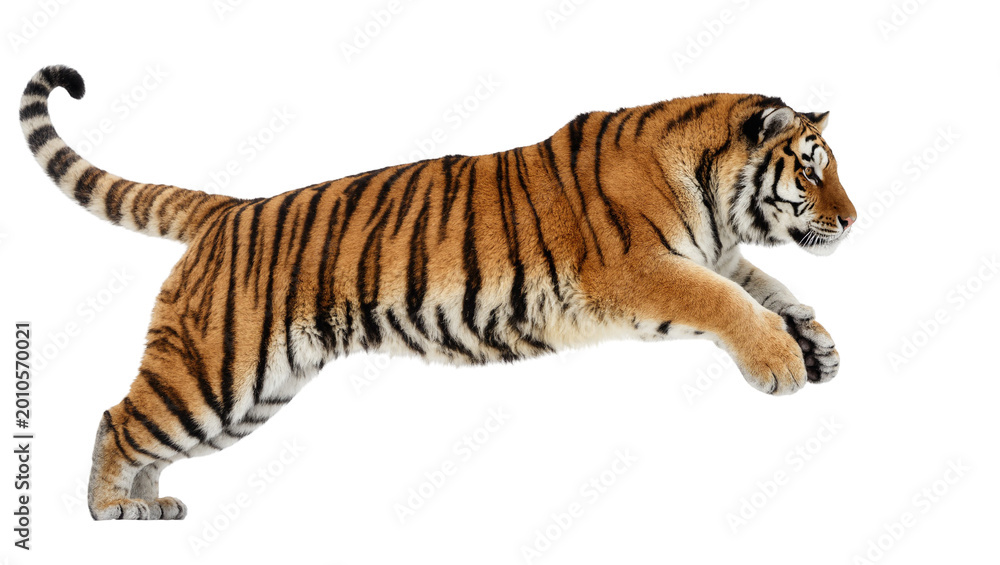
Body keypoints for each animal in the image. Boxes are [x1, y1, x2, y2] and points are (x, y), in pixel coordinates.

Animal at [21, 65, 856, 520]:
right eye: (812, 167)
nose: (853, 219)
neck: (716, 203)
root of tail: (227, 209)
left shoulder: (718, 256)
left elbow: (770, 286)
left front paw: (815, 343)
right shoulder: (644, 269)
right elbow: (729, 302)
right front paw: (781, 363)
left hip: (253, 391)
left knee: (147, 432)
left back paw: (147, 501)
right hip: (213, 371)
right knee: (118, 417)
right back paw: (109, 509)